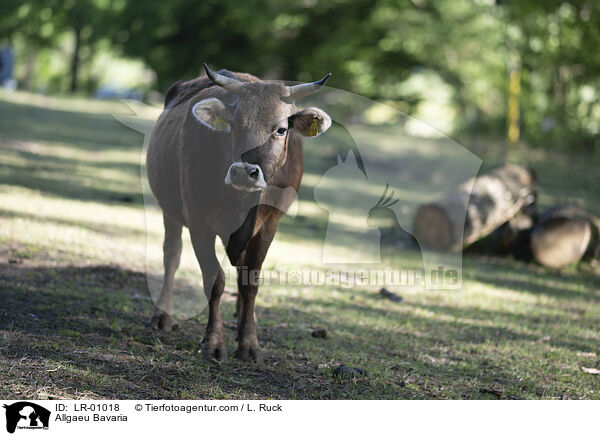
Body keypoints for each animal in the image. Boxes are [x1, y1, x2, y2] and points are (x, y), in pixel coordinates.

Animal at [146, 62, 332, 362]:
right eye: (232, 125)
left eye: (281, 130)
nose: (244, 172)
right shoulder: (198, 220)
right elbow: (214, 279)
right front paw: (213, 341)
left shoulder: (269, 225)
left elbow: (250, 283)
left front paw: (248, 342)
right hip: (169, 210)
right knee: (171, 255)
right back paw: (163, 316)